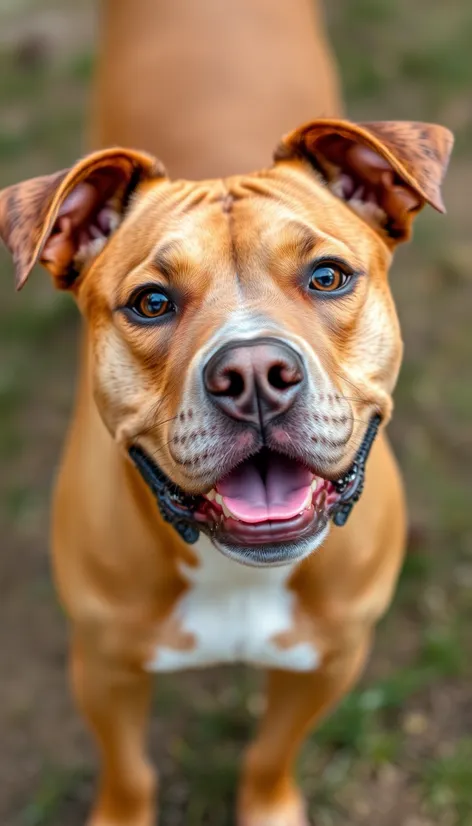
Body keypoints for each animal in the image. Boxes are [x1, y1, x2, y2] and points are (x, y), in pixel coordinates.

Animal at [0, 1, 454, 824]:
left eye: (328, 276)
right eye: (151, 302)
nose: (253, 375)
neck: (232, 570)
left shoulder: (333, 657)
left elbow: (271, 754)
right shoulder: (103, 665)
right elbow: (130, 772)